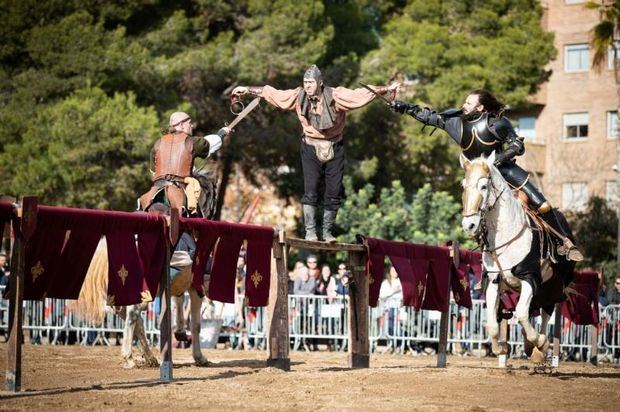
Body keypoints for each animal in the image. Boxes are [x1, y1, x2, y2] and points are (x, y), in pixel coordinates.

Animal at [72, 237, 208, 368]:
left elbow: (180, 304)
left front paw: (180, 332)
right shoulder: (198, 289)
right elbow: (196, 325)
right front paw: (199, 357)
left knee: (135, 319)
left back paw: (149, 358)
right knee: (133, 316)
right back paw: (129, 358)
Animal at [460, 151, 576, 360]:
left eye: (483, 186)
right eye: (463, 186)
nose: (469, 225)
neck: (506, 234)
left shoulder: (530, 277)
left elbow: (521, 313)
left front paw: (538, 341)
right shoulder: (493, 280)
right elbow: (493, 323)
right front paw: (500, 349)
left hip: (557, 282)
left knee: (547, 309)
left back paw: (539, 346)